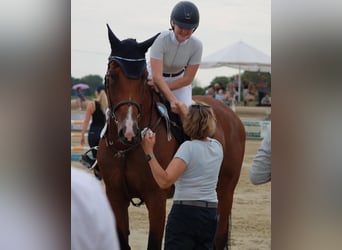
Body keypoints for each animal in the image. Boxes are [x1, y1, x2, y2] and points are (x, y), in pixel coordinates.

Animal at [97, 23, 246, 250]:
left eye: (144, 77)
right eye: (112, 75)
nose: (129, 131)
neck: (125, 150)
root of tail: (231, 114)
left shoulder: (156, 199)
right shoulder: (115, 198)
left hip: (224, 191)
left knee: (219, 237)